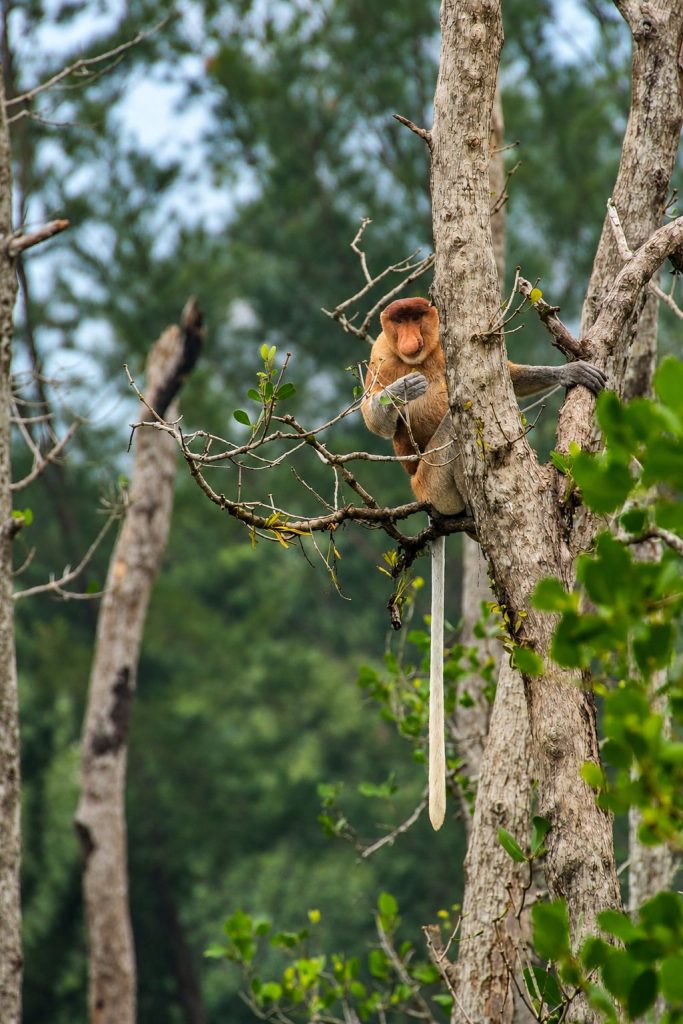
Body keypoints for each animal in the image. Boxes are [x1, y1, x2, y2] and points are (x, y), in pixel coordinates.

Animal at [361, 296, 607, 830]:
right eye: (397, 322)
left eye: (416, 318)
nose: (409, 339)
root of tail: (430, 507)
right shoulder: (380, 355)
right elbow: (374, 414)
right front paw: (400, 392)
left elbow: (508, 375)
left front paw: (571, 370)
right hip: (433, 481)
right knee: (456, 426)